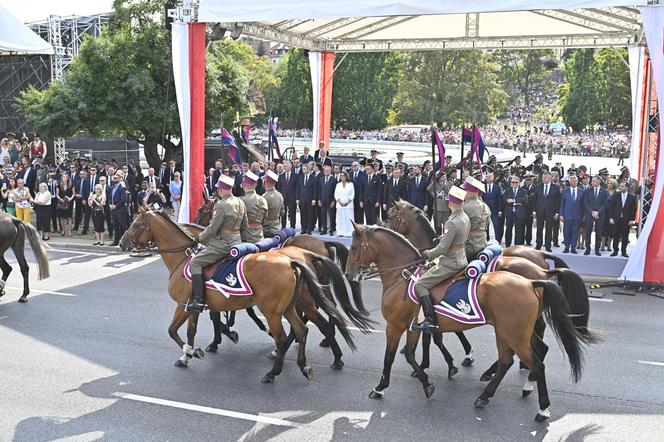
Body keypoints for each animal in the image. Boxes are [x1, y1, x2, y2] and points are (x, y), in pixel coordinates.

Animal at [118, 211, 352, 384]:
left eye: (136, 225)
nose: (121, 243)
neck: (183, 258)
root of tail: (292, 261)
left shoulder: (183, 305)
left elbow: (173, 331)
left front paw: (193, 350)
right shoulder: (194, 306)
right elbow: (192, 330)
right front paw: (190, 354)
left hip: (275, 312)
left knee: (287, 336)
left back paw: (273, 372)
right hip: (291, 307)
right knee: (305, 329)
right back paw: (307, 365)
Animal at [180, 221, 374, 370]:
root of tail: (319, 247)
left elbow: (219, 316)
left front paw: (221, 337)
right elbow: (230, 313)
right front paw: (227, 332)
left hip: (306, 297)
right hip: (316, 292)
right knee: (329, 311)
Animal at [344, 224, 600, 422]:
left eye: (354, 247)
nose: (348, 275)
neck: (402, 276)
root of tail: (532, 280)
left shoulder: (395, 326)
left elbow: (391, 356)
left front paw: (380, 388)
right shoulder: (411, 326)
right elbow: (411, 352)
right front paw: (427, 381)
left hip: (514, 335)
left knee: (535, 363)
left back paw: (541, 408)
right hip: (508, 332)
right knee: (514, 359)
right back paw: (489, 394)